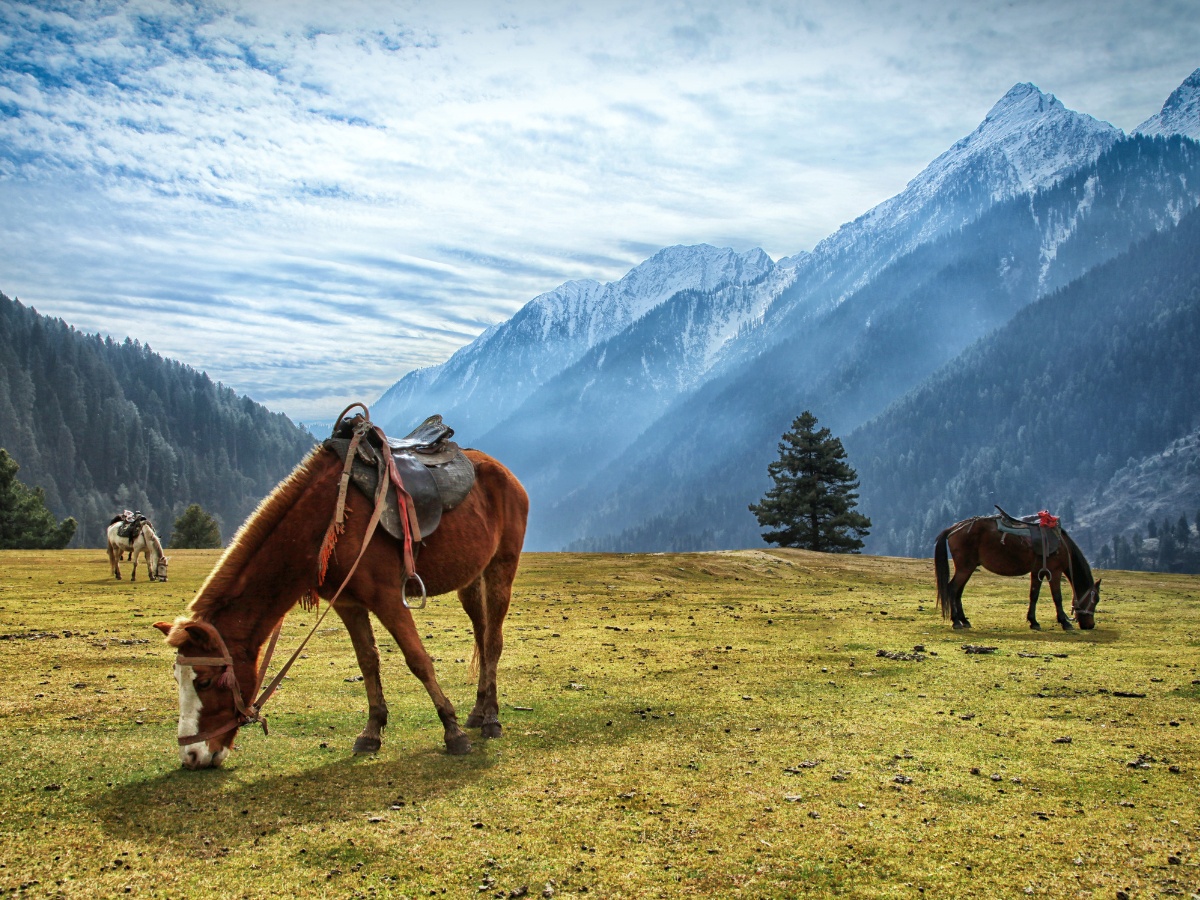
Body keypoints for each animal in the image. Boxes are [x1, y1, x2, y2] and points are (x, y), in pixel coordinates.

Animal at [151, 441, 525, 772]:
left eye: (204, 682)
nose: (192, 756)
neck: (326, 519)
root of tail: (504, 472)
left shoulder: (389, 598)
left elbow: (418, 661)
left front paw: (452, 731)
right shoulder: (348, 604)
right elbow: (368, 662)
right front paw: (371, 732)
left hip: (501, 568)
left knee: (493, 642)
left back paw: (491, 719)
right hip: (471, 579)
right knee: (482, 636)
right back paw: (478, 711)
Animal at [931, 513, 1099, 633]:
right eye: (1095, 600)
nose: (1090, 625)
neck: (1062, 545)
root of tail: (954, 528)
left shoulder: (1037, 572)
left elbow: (1034, 595)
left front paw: (1033, 621)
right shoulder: (1055, 571)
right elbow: (1057, 597)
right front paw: (1065, 622)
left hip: (968, 568)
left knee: (958, 592)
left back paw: (964, 620)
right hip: (965, 567)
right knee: (953, 588)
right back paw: (956, 621)